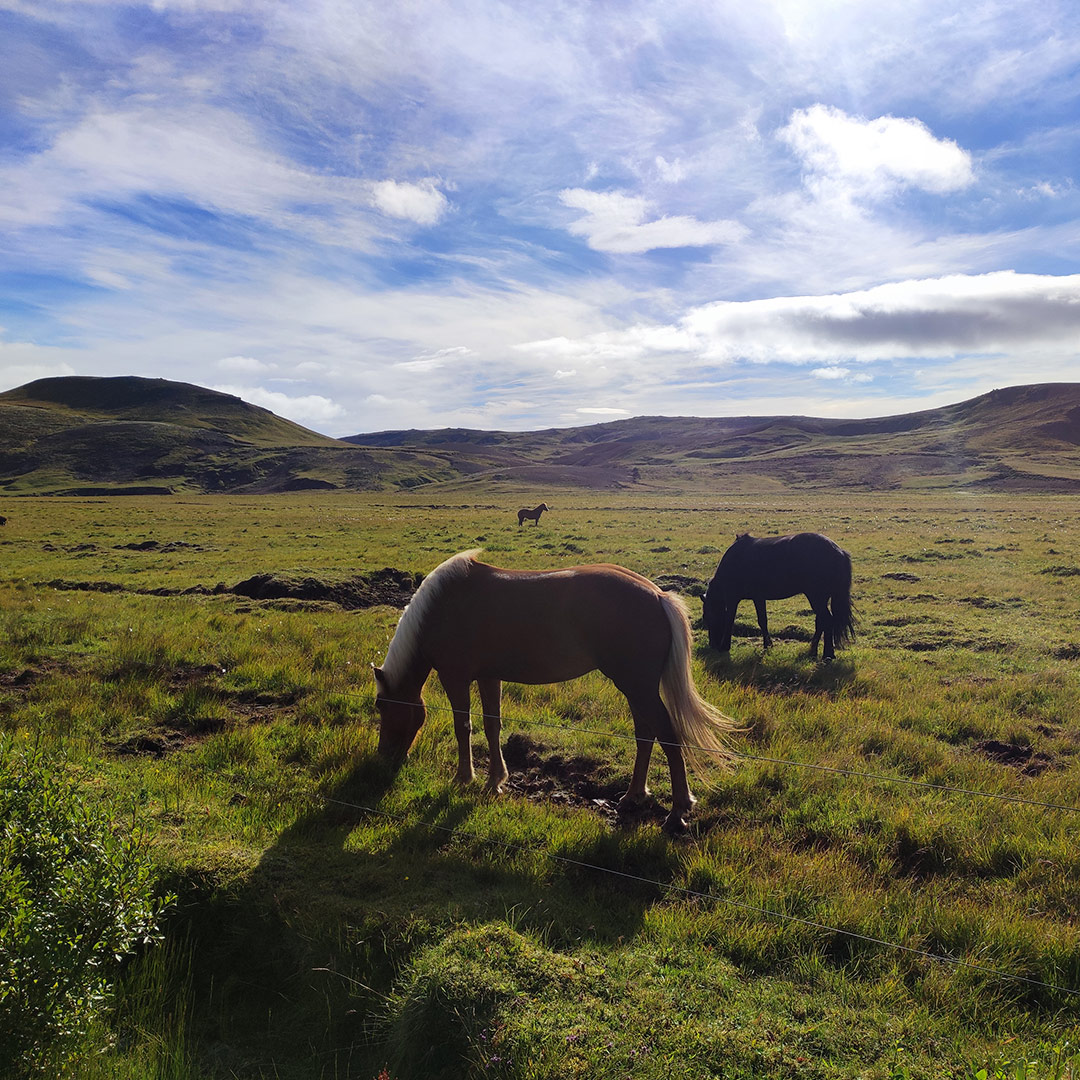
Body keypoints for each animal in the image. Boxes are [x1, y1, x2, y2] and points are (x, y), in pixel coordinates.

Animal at [375, 552, 738, 829]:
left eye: (381, 706)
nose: (383, 760)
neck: (441, 607)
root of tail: (658, 596)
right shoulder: (489, 677)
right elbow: (492, 726)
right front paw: (496, 781)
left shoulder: (455, 677)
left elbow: (463, 727)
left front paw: (464, 778)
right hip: (637, 688)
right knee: (645, 735)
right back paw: (634, 794)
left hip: (639, 687)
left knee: (668, 736)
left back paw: (677, 811)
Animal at [704, 529, 855, 656]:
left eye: (707, 617)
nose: (712, 645)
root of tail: (838, 550)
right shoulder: (758, 598)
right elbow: (762, 621)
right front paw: (768, 645)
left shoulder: (732, 598)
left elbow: (729, 619)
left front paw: (725, 646)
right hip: (821, 598)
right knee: (821, 622)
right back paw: (812, 650)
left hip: (816, 597)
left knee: (827, 620)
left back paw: (827, 655)